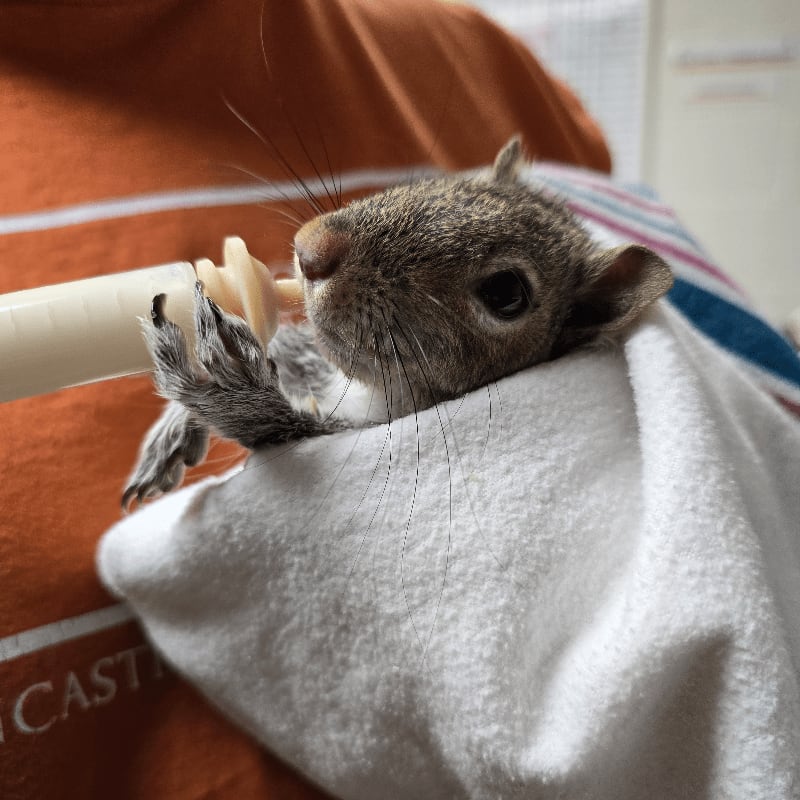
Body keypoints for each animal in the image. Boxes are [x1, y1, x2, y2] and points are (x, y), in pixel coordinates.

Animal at [122, 137, 673, 508]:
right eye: (448, 182)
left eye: (506, 294)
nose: (313, 251)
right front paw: (173, 428)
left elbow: (283, 430)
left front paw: (224, 385)